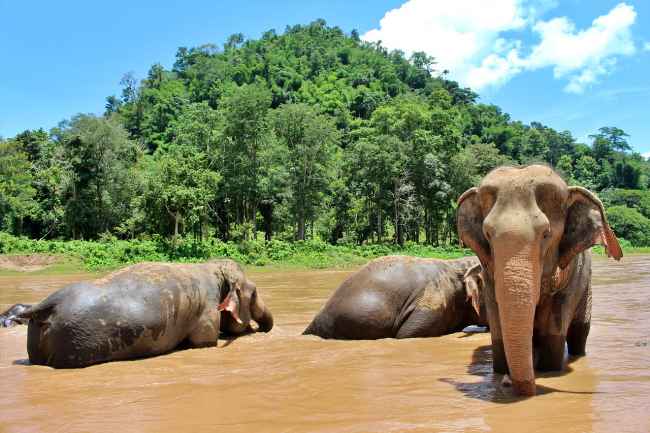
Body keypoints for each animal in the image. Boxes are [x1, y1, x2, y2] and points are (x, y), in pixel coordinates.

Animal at [17, 260, 270, 368]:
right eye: (255, 293)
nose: (261, 329)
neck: (213, 267)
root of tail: (46, 304)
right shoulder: (207, 310)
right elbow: (203, 342)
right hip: (76, 343)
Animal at [454, 165, 620, 394]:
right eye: (487, 234)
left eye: (545, 234)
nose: (506, 382)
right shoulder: (488, 273)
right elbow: (497, 319)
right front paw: (501, 372)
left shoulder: (573, 273)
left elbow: (556, 323)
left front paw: (549, 370)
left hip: (586, 290)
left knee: (580, 333)